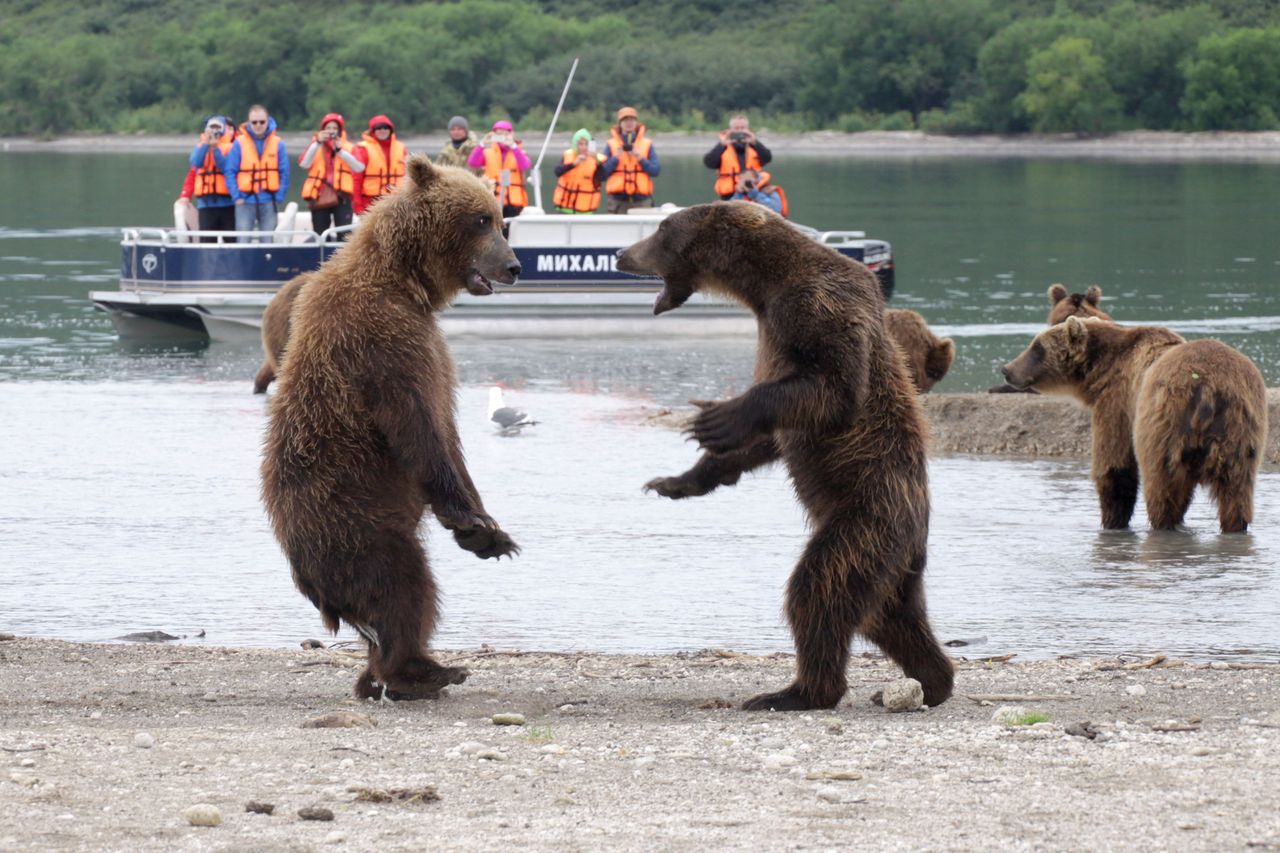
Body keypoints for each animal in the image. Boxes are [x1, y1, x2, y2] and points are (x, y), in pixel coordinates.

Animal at [262, 154, 522, 696]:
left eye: (498, 217)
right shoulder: (383, 343)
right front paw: (475, 524)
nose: (513, 266)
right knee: (404, 584)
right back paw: (422, 670)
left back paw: (382, 674)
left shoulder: (429, 343)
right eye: (482, 219)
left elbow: (450, 433)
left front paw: (488, 531)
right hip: (351, 518)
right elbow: (420, 430)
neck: (404, 283)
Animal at [614, 204, 957, 712]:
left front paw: (719, 416)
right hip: (894, 561)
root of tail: (917, 531)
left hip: (868, 516)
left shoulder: (817, 308)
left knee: (821, 588)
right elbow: (771, 439)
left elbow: (834, 388)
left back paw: (796, 691)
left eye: (661, 230)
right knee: (890, 616)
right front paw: (676, 480)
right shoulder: (773, 326)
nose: (621, 252)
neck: (763, 286)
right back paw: (932, 680)